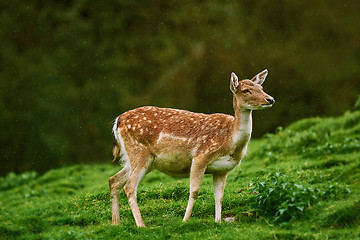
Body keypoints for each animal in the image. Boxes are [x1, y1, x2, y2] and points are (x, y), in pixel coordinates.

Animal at [108, 69, 274, 227]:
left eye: (261, 87)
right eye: (246, 90)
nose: (270, 99)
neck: (229, 140)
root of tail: (118, 121)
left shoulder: (222, 169)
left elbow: (219, 196)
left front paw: (218, 222)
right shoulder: (200, 156)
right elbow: (194, 191)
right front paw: (185, 221)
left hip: (139, 159)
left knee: (114, 180)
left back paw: (116, 223)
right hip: (139, 152)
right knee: (129, 187)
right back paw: (141, 225)